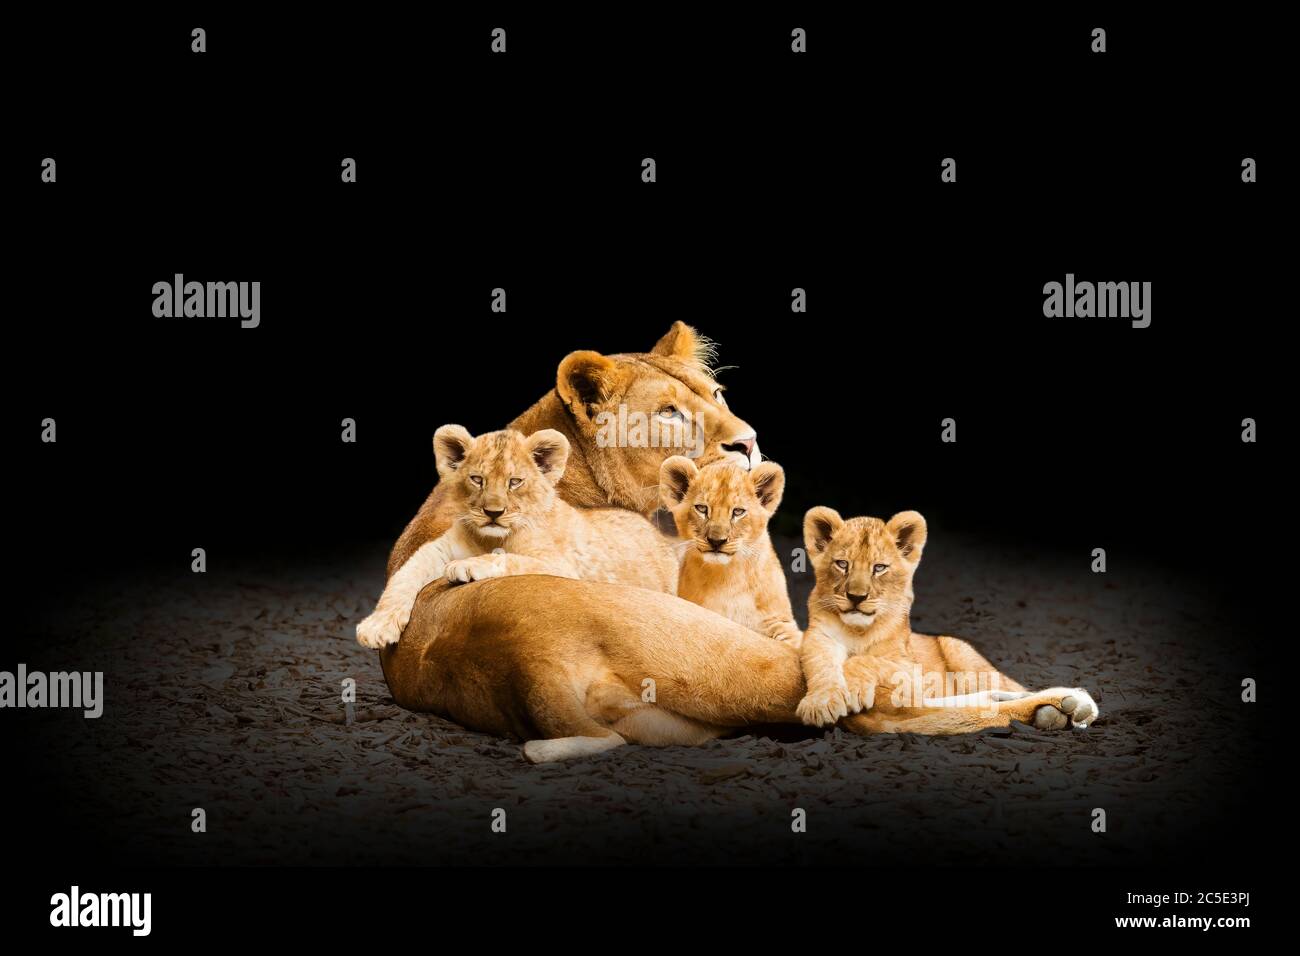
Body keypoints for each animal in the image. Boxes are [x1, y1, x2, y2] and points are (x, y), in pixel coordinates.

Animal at [356, 425, 677, 649]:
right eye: (477, 479)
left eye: (514, 482)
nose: (493, 512)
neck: (490, 538)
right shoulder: (438, 550)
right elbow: (404, 576)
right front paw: (377, 626)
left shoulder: (562, 567)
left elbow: (510, 559)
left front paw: (468, 566)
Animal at [795, 507, 1101, 733]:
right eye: (842, 564)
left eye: (879, 568)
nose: (856, 597)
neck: (858, 631)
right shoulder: (817, 638)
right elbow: (821, 663)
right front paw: (820, 704)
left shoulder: (910, 670)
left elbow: (867, 660)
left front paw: (855, 686)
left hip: (963, 657)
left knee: (1007, 691)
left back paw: (1074, 705)